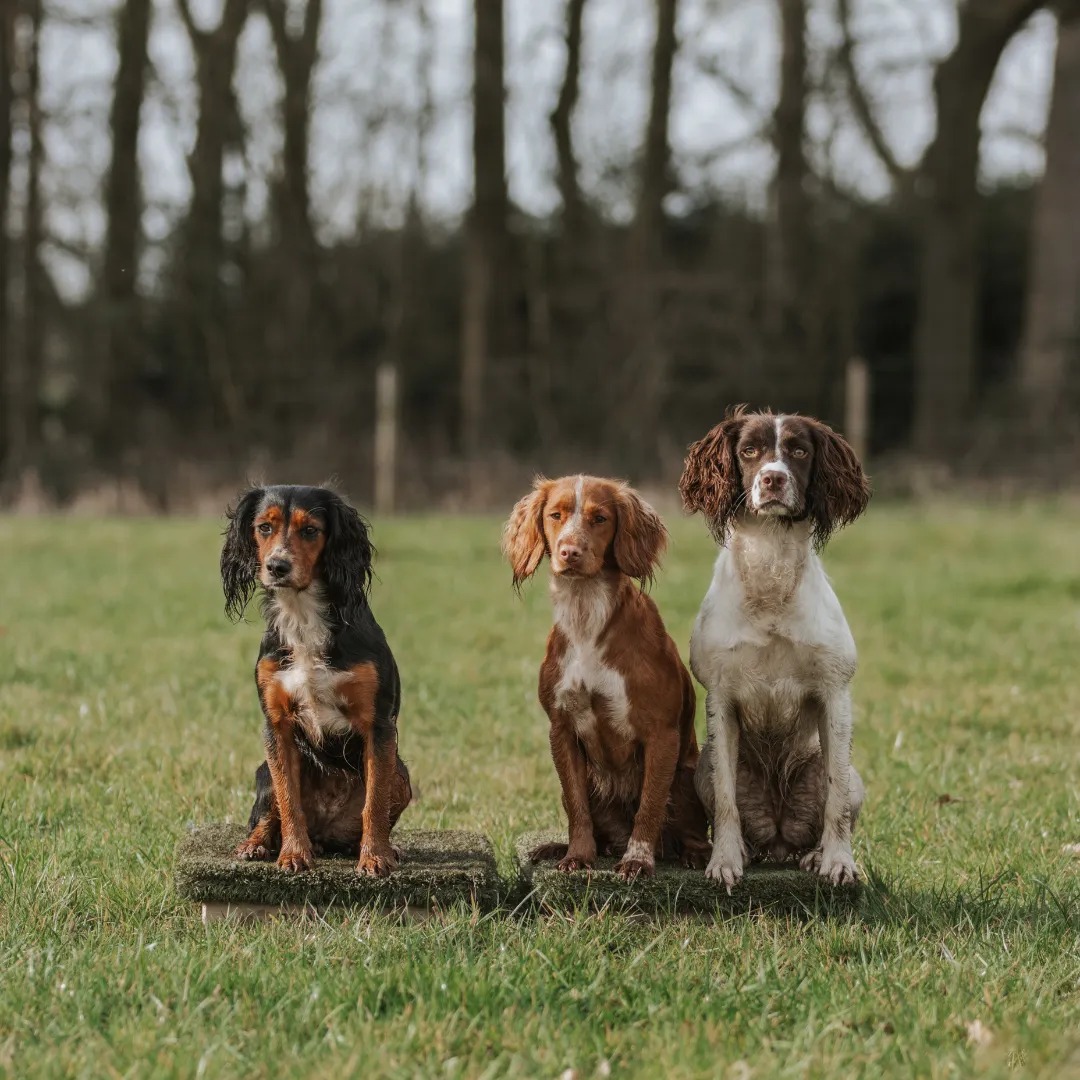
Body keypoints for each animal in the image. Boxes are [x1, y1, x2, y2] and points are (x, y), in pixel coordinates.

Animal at [221, 486, 410, 872]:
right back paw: (256, 845)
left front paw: (375, 857)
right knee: (268, 813)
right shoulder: (276, 725)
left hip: (403, 774)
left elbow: (375, 802)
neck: (302, 616)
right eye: (264, 527)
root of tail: (327, 834)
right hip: (263, 772)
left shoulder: (379, 725)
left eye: (310, 530)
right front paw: (293, 854)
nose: (277, 566)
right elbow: (288, 799)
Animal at [503, 477, 712, 881]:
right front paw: (577, 856)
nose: (569, 551)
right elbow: (577, 808)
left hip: (690, 775)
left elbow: (649, 806)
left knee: (694, 834)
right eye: (555, 515)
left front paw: (636, 862)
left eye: (599, 518)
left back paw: (691, 854)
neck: (586, 615)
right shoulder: (561, 730)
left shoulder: (661, 734)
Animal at [678, 408, 872, 889]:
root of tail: (779, 839)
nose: (772, 479)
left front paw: (838, 861)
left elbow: (836, 801)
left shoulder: (835, 692)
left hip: (847, 775)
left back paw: (814, 855)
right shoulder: (720, 697)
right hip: (701, 770)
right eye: (749, 450)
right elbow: (727, 800)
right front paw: (725, 860)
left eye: (799, 451)